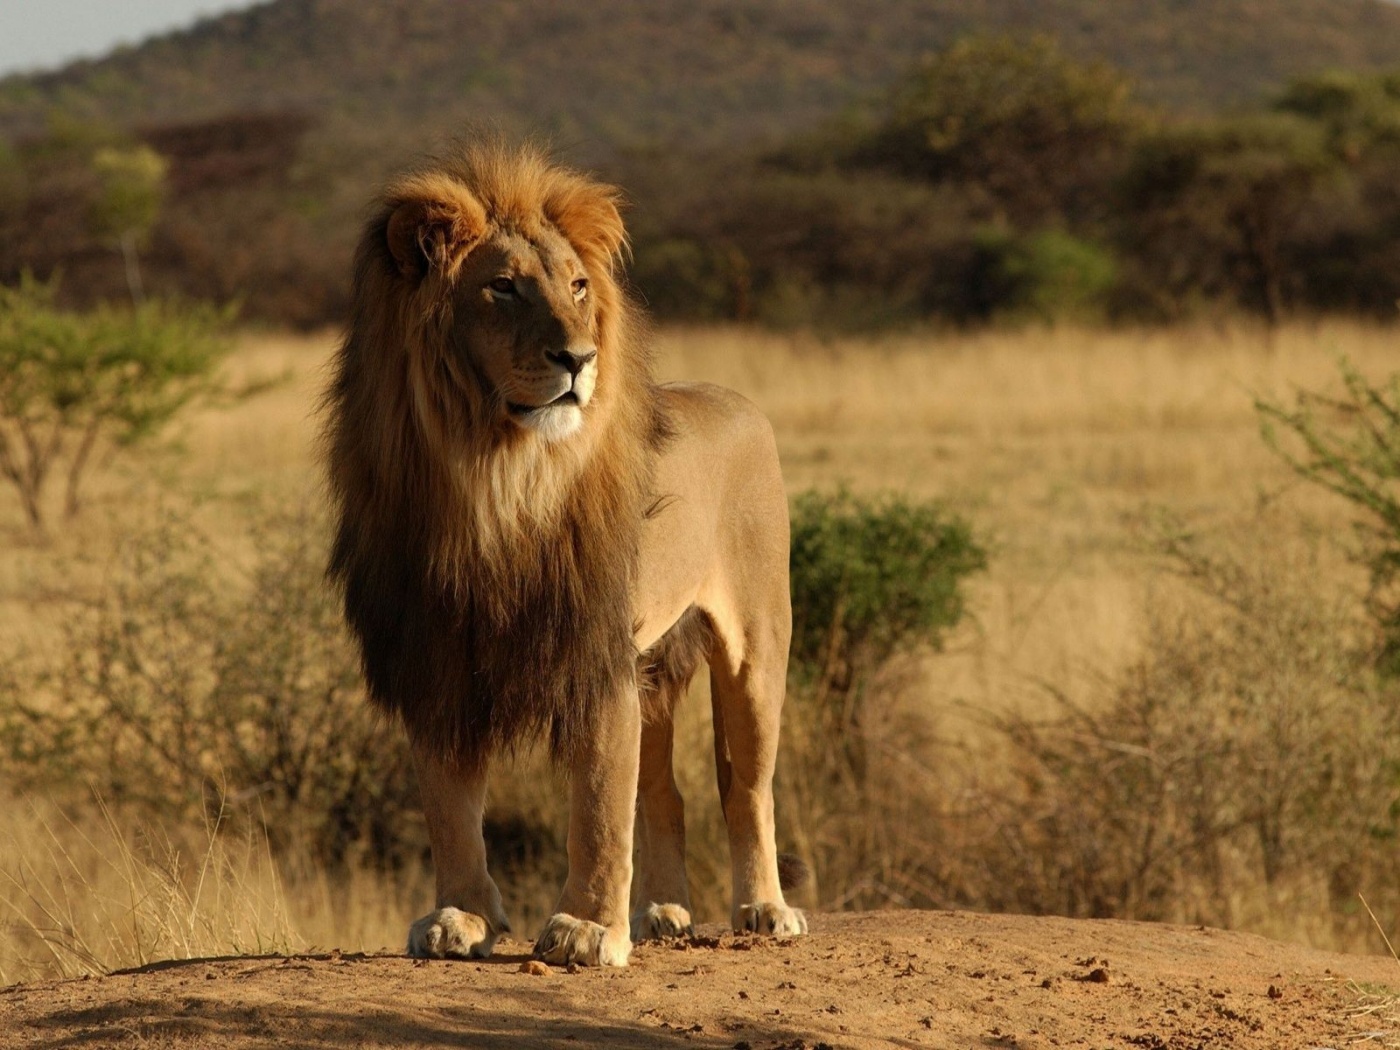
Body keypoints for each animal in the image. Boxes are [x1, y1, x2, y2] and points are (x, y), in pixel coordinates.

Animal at [322, 142, 806, 968]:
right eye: (504, 287)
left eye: (578, 287)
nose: (578, 357)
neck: (494, 478)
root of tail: (738, 401)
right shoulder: (436, 654)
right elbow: (450, 806)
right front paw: (461, 917)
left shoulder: (594, 651)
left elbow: (599, 805)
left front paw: (586, 929)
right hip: (655, 666)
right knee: (666, 792)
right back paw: (663, 913)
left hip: (756, 646)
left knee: (746, 788)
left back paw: (764, 909)